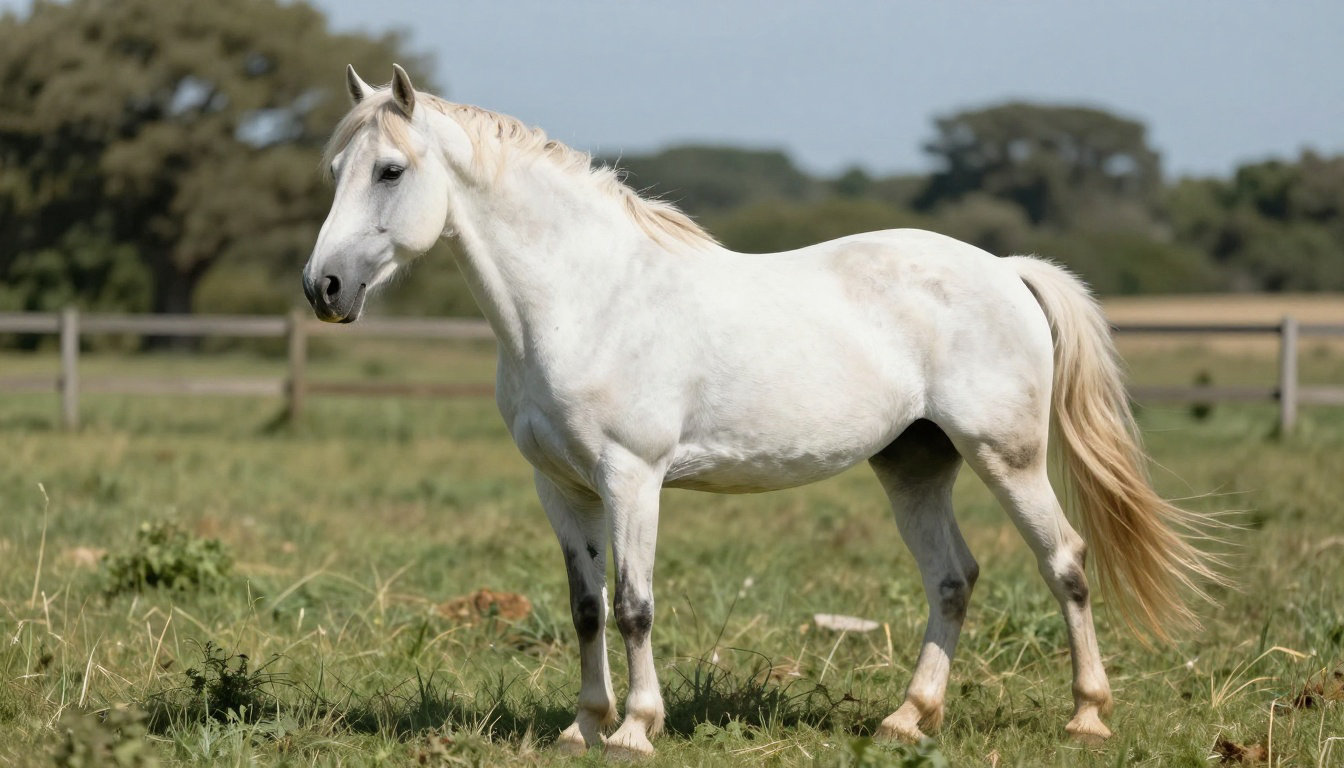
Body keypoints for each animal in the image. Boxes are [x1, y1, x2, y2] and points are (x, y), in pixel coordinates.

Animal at [302, 65, 1224, 757]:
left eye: (390, 171)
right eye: (335, 171)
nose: (324, 288)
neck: (584, 298)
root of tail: (1005, 270)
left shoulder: (632, 477)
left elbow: (634, 604)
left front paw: (635, 729)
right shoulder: (559, 487)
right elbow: (586, 606)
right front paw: (582, 726)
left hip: (1007, 456)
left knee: (1063, 561)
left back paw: (1087, 715)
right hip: (914, 463)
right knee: (953, 578)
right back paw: (906, 719)